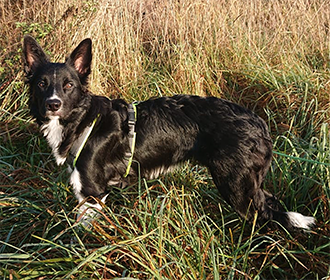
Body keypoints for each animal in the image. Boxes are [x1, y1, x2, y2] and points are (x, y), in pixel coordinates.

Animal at [22, 36, 314, 231]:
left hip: (237, 186)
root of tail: (259, 123)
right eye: (41, 84)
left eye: (69, 85)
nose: (53, 104)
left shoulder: (92, 192)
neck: (83, 120)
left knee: (265, 215)